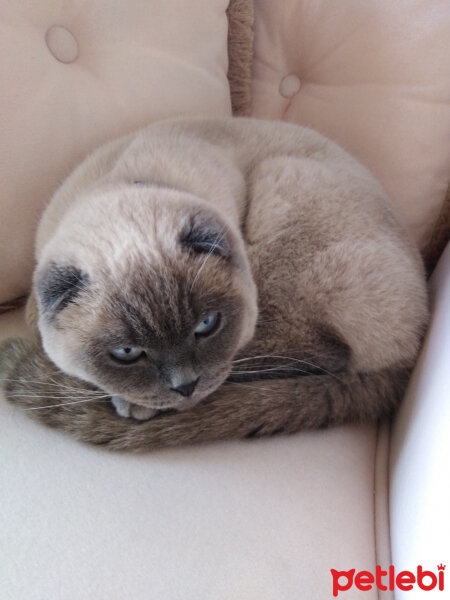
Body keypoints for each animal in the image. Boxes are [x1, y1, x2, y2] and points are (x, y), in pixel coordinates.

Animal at [0, 117, 428, 450]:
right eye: (126, 352)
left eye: (206, 325)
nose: (185, 387)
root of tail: (412, 353)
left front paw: (140, 404)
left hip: (280, 189)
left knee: (325, 354)